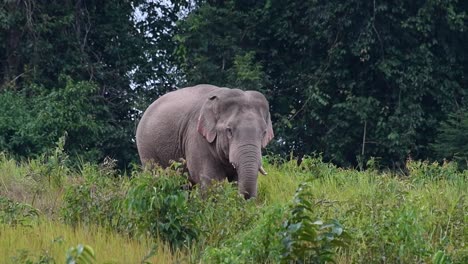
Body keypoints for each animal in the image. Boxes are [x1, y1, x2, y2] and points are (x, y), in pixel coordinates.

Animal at [135, 84, 274, 198]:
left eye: (264, 132)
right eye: (229, 130)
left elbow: (236, 179)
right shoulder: (196, 136)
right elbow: (211, 181)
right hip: (146, 148)